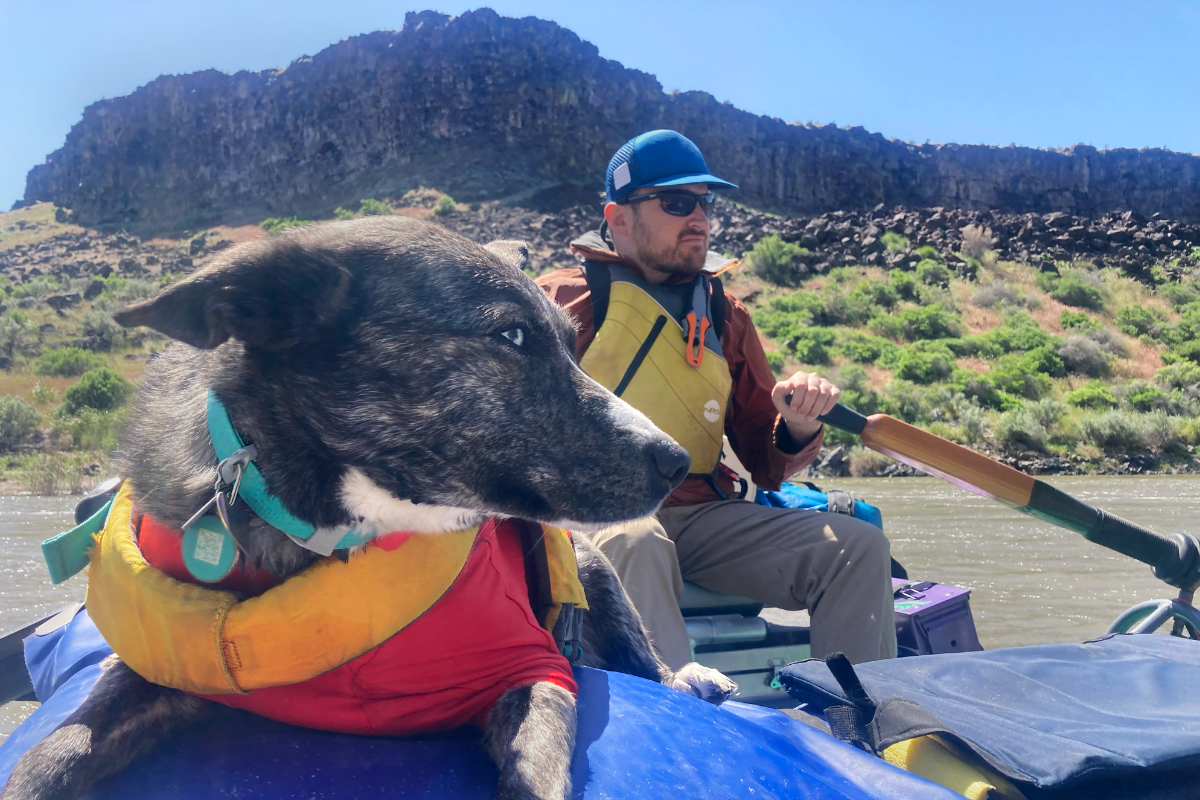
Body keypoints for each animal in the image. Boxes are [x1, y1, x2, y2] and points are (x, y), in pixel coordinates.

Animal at [0, 217, 734, 800]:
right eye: (514, 336)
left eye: (569, 342)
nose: (676, 462)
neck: (335, 524)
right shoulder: (150, 675)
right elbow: (46, 759)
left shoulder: (535, 668)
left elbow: (536, 774)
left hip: (598, 579)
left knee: (650, 664)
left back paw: (694, 678)